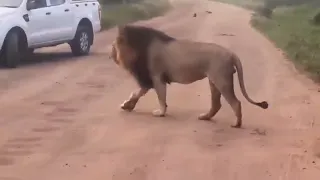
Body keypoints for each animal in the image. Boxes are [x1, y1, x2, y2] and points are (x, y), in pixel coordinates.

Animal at [109, 24, 268, 128]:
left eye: (114, 45)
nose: (111, 55)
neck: (139, 48)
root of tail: (231, 53)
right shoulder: (148, 79)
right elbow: (136, 93)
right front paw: (127, 105)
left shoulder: (157, 77)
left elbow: (161, 97)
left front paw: (160, 113)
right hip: (214, 81)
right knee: (216, 104)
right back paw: (205, 117)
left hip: (222, 80)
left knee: (236, 102)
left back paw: (236, 124)